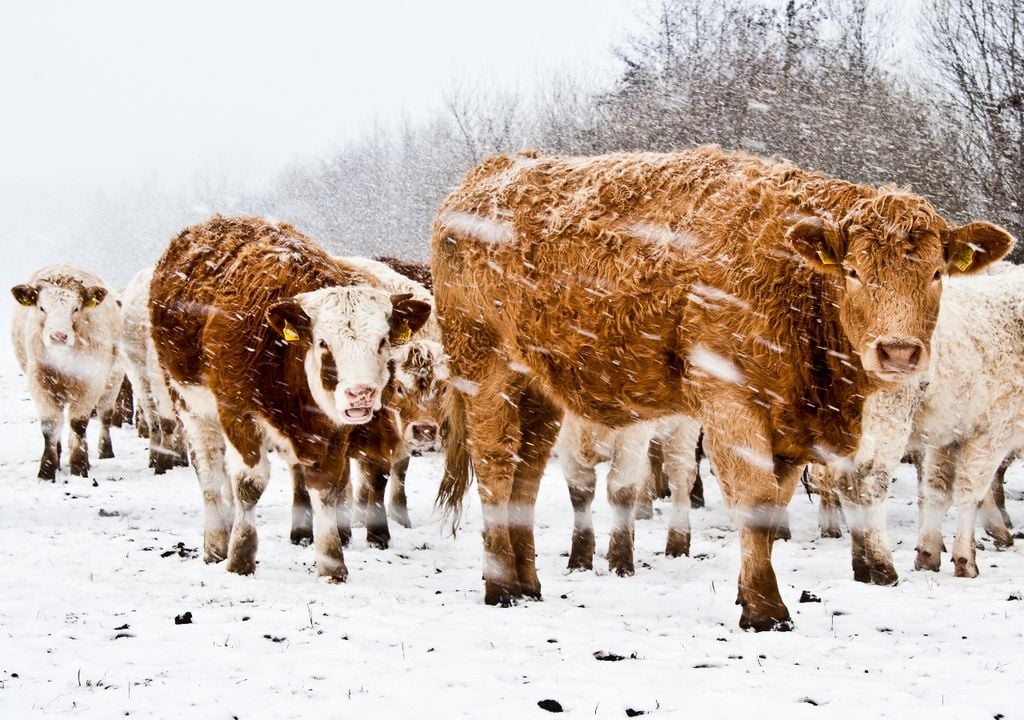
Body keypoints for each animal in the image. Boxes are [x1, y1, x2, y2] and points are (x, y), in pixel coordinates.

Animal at [11, 264, 125, 480]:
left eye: (76, 308)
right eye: (42, 308)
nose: (58, 336)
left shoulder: (90, 383)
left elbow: (78, 424)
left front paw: (79, 467)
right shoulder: (39, 383)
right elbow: (50, 426)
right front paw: (47, 470)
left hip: (112, 381)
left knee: (104, 416)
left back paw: (104, 451)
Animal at [149, 217, 431, 580]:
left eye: (383, 341)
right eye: (323, 343)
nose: (361, 393)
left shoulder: (332, 430)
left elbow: (327, 486)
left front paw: (331, 563)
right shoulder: (237, 413)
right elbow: (248, 484)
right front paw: (240, 557)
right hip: (190, 406)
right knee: (209, 471)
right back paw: (216, 542)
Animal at [431, 146, 1013, 630]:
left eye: (937, 273)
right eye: (851, 270)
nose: (898, 351)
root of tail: (485, 176)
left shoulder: (789, 425)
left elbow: (772, 509)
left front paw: (748, 593)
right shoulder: (731, 401)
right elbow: (753, 502)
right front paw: (765, 610)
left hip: (538, 393)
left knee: (525, 476)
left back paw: (528, 582)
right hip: (485, 370)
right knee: (495, 467)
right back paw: (500, 586)